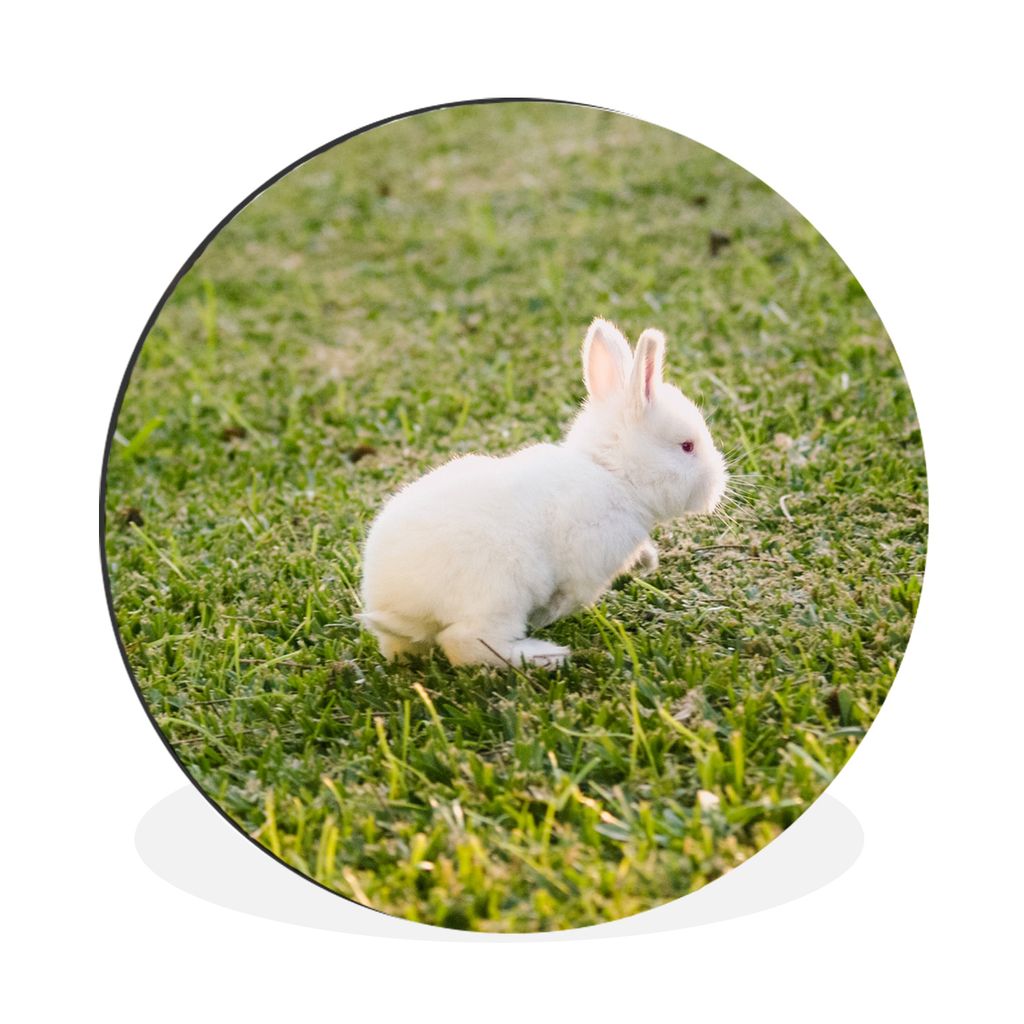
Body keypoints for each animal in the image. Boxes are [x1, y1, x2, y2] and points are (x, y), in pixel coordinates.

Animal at [357, 318, 728, 669]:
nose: (718, 485)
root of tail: (394, 605)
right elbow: (570, 598)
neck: (612, 475)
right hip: (500, 593)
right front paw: (547, 616)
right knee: (466, 644)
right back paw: (546, 656)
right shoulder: (585, 567)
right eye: (687, 446)